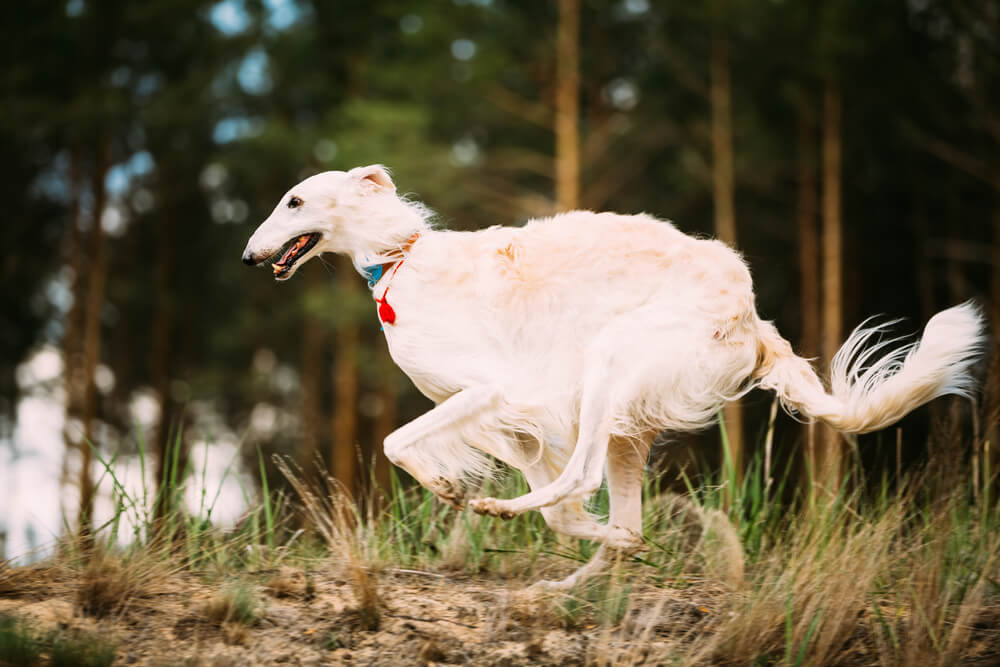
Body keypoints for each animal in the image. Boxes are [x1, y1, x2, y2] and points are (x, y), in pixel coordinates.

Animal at [244, 164, 984, 588]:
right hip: (628, 424)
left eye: (294, 201)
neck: (401, 260)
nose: (249, 257)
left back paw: (512, 521)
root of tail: (752, 318)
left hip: (610, 360)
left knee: (583, 479)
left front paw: (450, 488)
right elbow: (564, 516)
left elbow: (400, 442)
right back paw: (561, 585)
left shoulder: (491, 392)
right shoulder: (516, 426)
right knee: (622, 527)